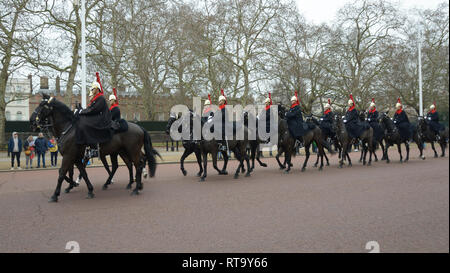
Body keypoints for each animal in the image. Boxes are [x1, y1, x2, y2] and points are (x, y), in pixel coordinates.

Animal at [29, 94, 157, 201]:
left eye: (42, 106)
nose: (32, 122)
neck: (68, 128)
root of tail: (139, 127)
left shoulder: (69, 156)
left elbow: (62, 173)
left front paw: (55, 195)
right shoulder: (76, 157)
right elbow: (81, 172)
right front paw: (86, 189)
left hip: (131, 151)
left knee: (137, 165)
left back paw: (135, 187)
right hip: (122, 151)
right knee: (129, 165)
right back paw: (132, 184)